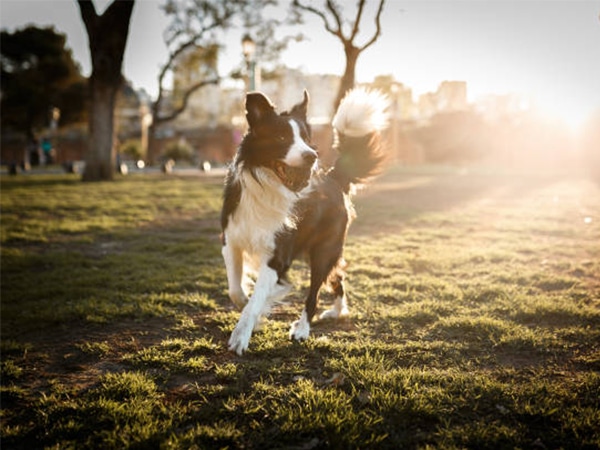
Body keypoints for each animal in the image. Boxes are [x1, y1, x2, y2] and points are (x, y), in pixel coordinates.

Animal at [221, 87, 390, 356]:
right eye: (281, 137)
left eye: (306, 138)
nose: (312, 155)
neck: (267, 187)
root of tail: (334, 177)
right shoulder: (231, 241)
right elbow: (236, 291)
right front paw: (254, 311)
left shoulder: (277, 257)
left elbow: (256, 298)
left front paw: (241, 334)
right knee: (338, 277)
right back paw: (338, 311)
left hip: (324, 250)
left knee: (314, 294)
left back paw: (302, 329)